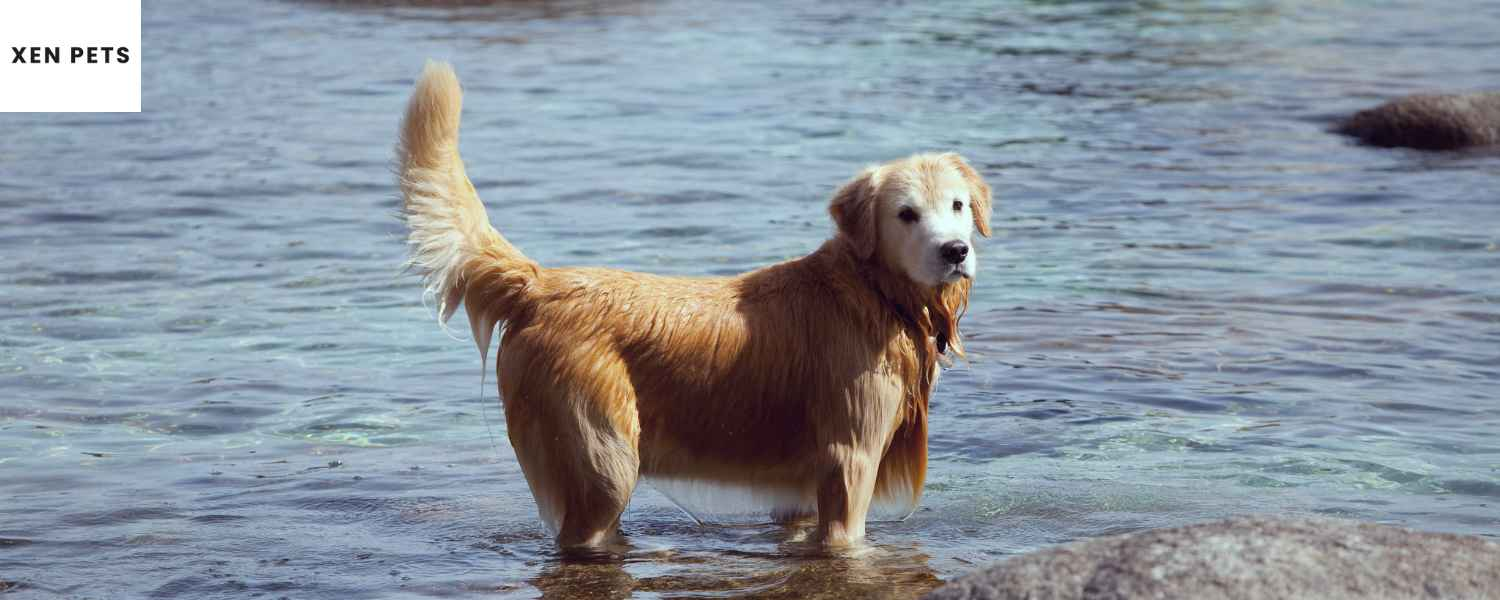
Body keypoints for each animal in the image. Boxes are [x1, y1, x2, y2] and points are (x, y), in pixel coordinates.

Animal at [393, 62, 990, 552]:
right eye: (906, 214)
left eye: (958, 206)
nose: (955, 251)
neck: (874, 290)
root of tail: (541, 284)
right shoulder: (849, 462)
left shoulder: (800, 493)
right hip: (602, 460)